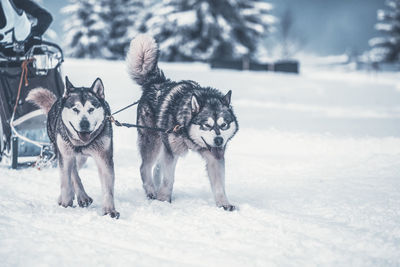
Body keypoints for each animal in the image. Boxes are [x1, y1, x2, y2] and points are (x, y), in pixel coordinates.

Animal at [27, 77, 119, 220]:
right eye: (75, 109)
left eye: (91, 109)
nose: (84, 123)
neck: (82, 143)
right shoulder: (65, 156)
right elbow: (66, 180)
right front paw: (66, 203)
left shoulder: (104, 158)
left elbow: (107, 188)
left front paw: (109, 210)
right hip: (63, 151)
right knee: (73, 173)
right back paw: (80, 197)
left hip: (81, 158)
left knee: (75, 170)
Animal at [126, 35, 238, 211]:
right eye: (206, 125)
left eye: (223, 125)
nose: (219, 140)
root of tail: (156, 83)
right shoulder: (171, 152)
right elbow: (168, 179)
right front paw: (164, 200)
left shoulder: (215, 157)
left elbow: (219, 184)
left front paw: (224, 204)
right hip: (153, 142)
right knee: (145, 167)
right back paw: (151, 191)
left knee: (156, 168)